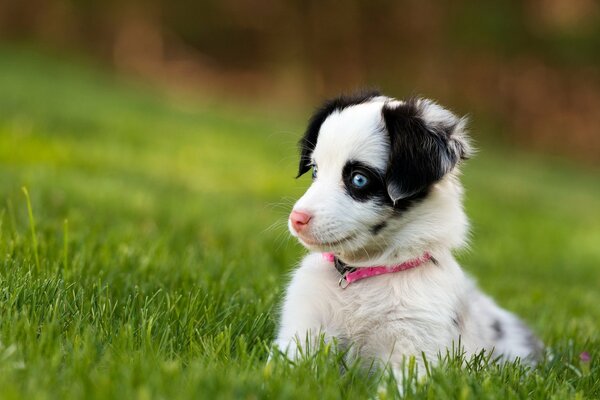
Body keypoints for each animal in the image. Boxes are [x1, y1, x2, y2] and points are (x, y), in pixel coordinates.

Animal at [276, 90, 544, 378]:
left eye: (359, 179)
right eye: (315, 170)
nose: (297, 219)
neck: (360, 275)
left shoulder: (414, 350)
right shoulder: (302, 330)